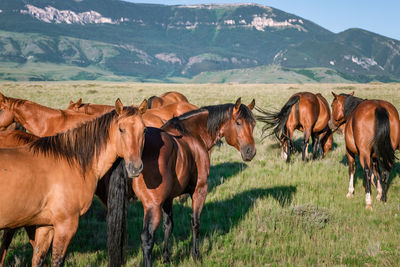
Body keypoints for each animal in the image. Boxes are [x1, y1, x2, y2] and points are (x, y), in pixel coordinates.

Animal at [0, 99, 147, 266]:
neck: (72, 161)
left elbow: (38, 258)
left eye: (144, 130)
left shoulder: (46, 226)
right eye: (121, 129)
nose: (135, 167)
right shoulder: (65, 226)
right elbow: (57, 260)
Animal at [119, 99, 256, 267]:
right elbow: (195, 223)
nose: (251, 151)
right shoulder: (199, 190)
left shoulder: (168, 198)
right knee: (147, 238)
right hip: (152, 207)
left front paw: (166, 257)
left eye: (253, 124)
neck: (192, 133)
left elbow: (168, 225)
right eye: (238, 122)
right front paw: (196, 255)